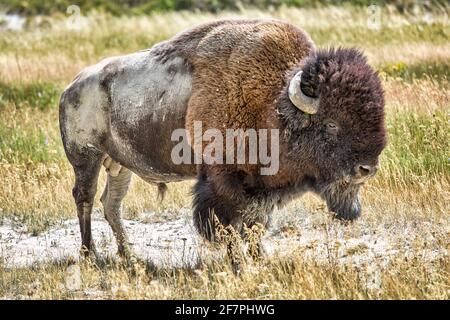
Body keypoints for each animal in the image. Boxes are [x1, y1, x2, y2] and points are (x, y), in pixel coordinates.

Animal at [59, 18, 386, 258]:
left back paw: (129, 254)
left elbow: (255, 225)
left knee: (111, 203)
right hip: (86, 158)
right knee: (85, 198)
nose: (366, 169)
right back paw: (91, 255)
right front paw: (237, 262)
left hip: (119, 166)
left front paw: (258, 258)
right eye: (331, 124)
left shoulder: (258, 191)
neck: (273, 105)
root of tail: (70, 87)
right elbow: (227, 226)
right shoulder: (222, 182)